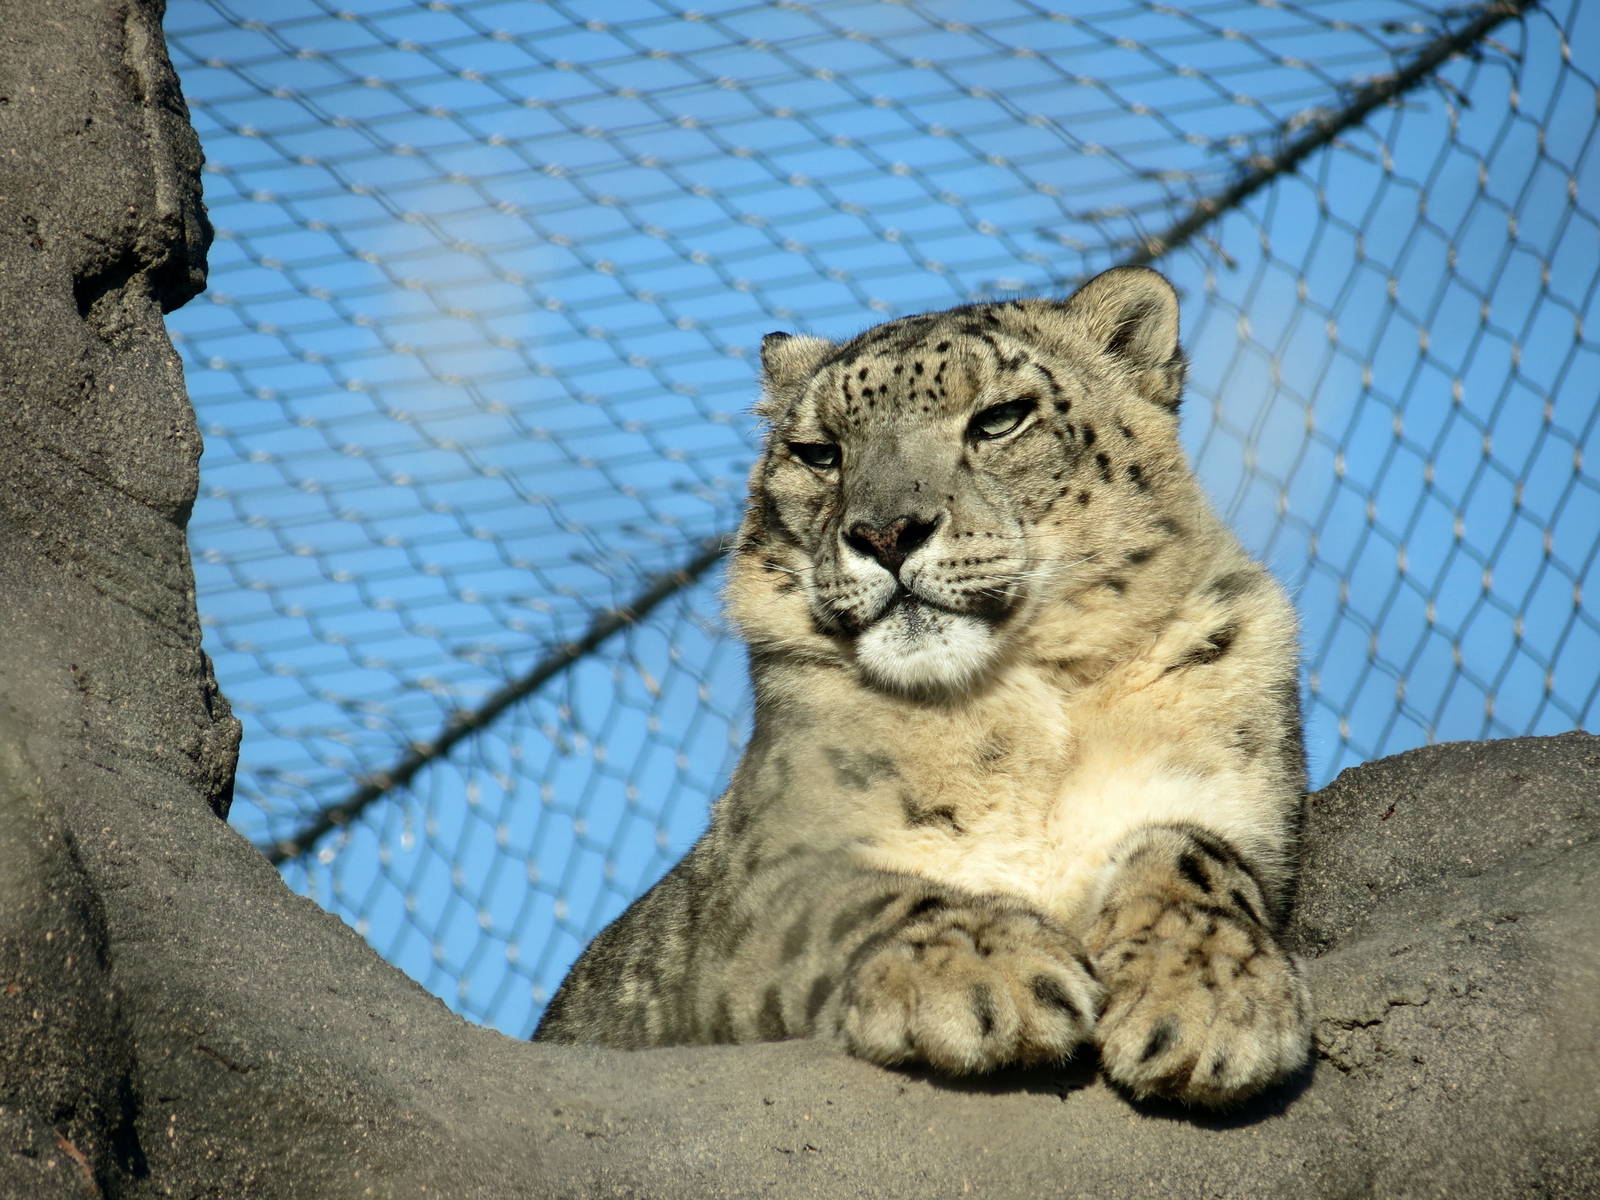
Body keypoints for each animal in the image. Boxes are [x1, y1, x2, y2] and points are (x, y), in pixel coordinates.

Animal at [534, 265, 1312, 1108]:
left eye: (999, 418)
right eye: (819, 452)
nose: (885, 533)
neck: (1021, 715)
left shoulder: (1231, 792)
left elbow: (1193, 854)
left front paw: (1209, 998)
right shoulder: (764, 870)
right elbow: (847, 898)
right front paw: (988, 971)